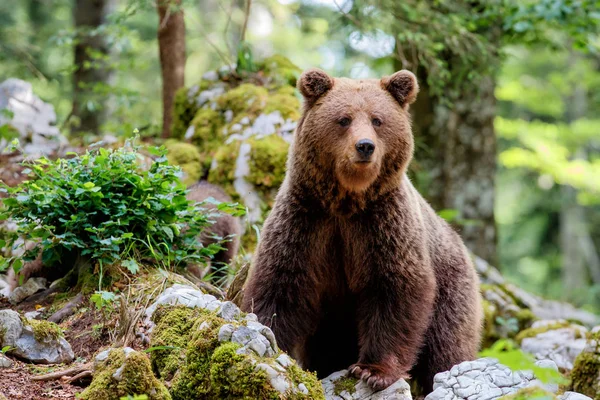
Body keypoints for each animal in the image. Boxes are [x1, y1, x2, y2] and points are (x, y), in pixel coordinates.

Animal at [241, 68, 480, 394]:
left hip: (451, 288)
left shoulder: (382, 225)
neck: (347, 201)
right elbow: (281, 284)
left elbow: (394, 289)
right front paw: (268, 337)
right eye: (344, 119)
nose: (365, 145)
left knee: (446, 347)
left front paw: (373, 370)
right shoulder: (307, 220)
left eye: (377, 119)